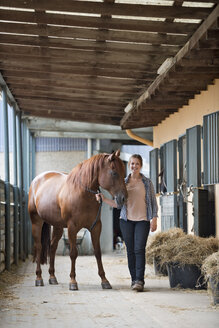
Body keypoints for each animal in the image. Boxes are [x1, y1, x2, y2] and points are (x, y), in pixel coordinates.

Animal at [27, 150, 126, 290]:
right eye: (114, 173)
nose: (123, 198)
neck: (82, 192)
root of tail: (36, 181)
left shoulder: (96, 227)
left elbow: (98, 252)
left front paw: (104, 280)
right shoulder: (72, 227)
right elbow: (73, 253)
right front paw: (73, 281)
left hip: (57, 226)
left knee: (52, 247)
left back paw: (52, 277)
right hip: (36, 222)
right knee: (39, 247)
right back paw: (39, 278)